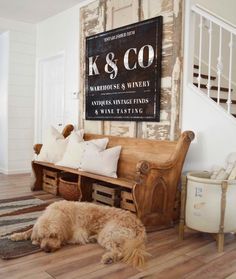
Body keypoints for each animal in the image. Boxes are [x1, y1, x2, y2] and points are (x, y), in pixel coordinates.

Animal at [10, 201, 149, 270]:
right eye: (42, 236)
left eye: (53, 235)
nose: (47, 250)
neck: (61, 213)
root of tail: (140, 224)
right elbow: (29, 230)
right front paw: (17, 235)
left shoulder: (77, 234)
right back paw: (93, 239)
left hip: (107, 233)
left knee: (119, 251)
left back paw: (108, 257)